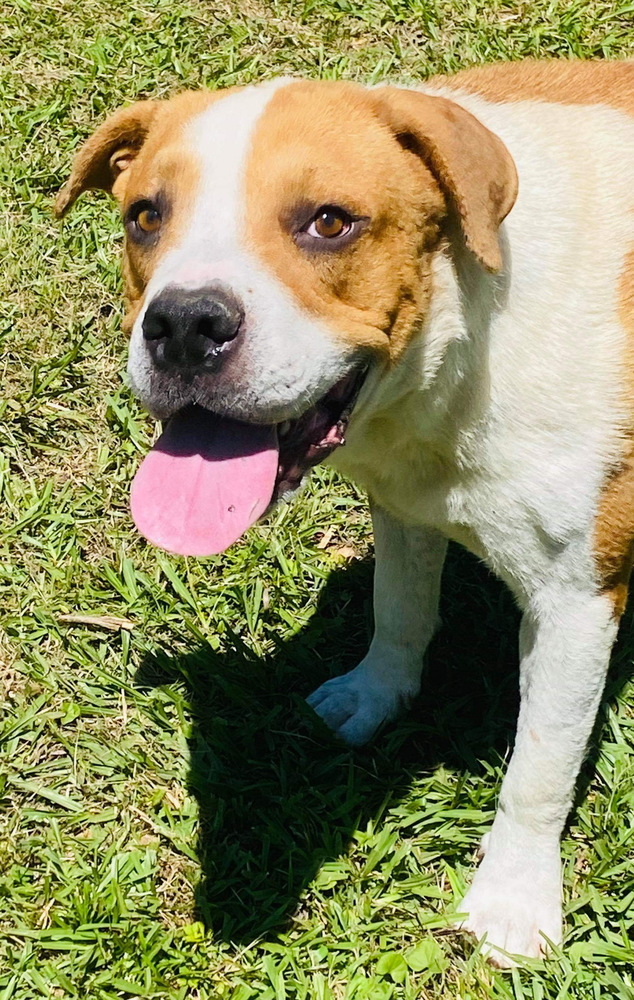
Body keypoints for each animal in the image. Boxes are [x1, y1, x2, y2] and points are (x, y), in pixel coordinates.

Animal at [55, 58, 632, 964]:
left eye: (329, 223)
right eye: (145, 216)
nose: (183, 325)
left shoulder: (577, 600)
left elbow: (540, 766)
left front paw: (513, 900)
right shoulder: (402, 502)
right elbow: (399, 611)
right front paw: (375, 696)